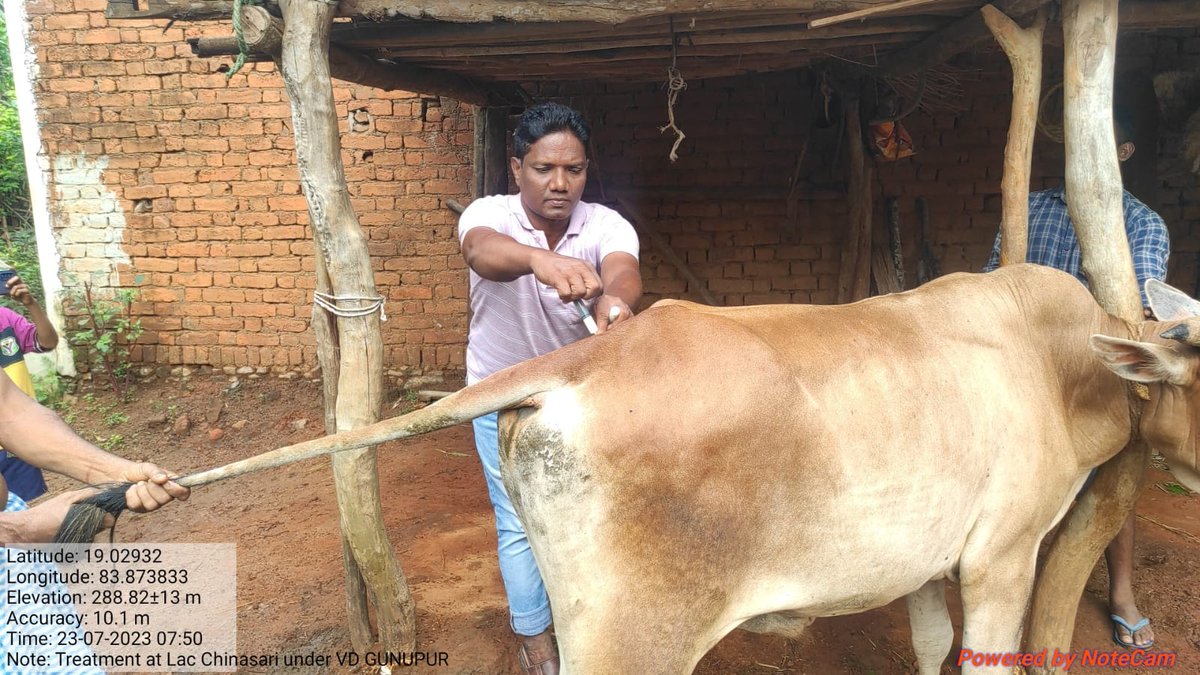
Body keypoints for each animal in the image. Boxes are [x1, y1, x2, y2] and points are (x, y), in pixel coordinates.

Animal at [261, 263, 1200, 674]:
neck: (1060, 363)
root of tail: (591, 357)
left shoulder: (930, 562)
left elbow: (933, 645)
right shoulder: (1002, 554)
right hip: (636, 639)